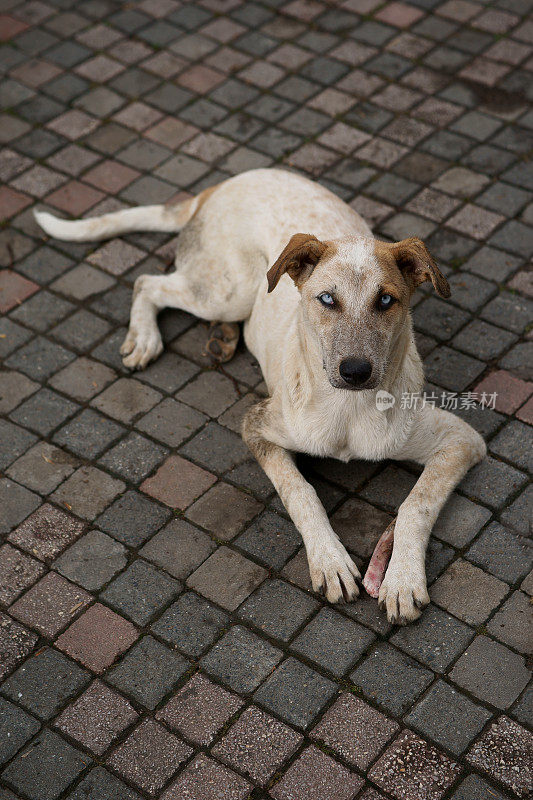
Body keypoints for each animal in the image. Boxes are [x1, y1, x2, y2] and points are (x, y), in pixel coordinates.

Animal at [34, 169, 486, 624]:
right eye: (327, 298)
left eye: (387, 300)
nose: (355, 371)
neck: (347, 412)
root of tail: (227, 182)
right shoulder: (258, 426)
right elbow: (300, 492)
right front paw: (329, 560)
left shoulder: (461, 440)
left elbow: (417, 504)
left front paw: (402, 579)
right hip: (227, 290)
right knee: (148, 283)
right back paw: (146, 337)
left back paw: (221, 337)